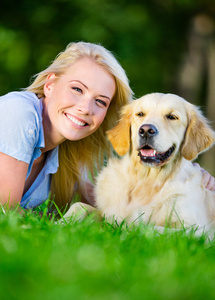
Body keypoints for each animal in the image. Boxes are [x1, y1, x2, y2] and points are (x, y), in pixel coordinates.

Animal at [95, 94, 215, 232]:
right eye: (140, 114)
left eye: (172, 117)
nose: (146, 130)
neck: (147, 181)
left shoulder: (195, 229)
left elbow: (148, 228)